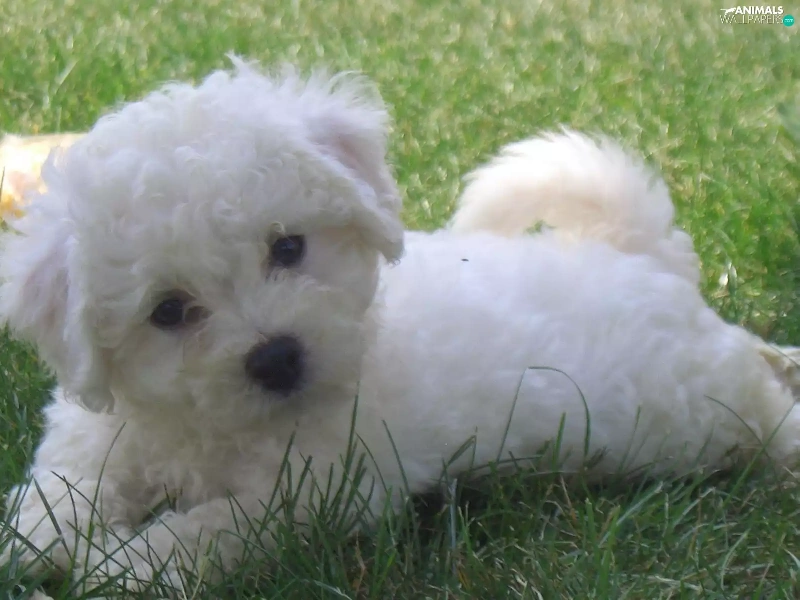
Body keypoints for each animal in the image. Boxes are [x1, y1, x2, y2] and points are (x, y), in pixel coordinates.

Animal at [1, 57, 798, 592]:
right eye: (168, 311)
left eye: (288, 248)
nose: (277, 356)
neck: (201, 427)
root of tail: (636, 254)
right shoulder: (98, 432)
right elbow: (60, 488)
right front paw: (39, 540)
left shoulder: (318, 487)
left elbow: (212, 526)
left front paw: (126, 563)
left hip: (690, 408)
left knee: (758, 396)